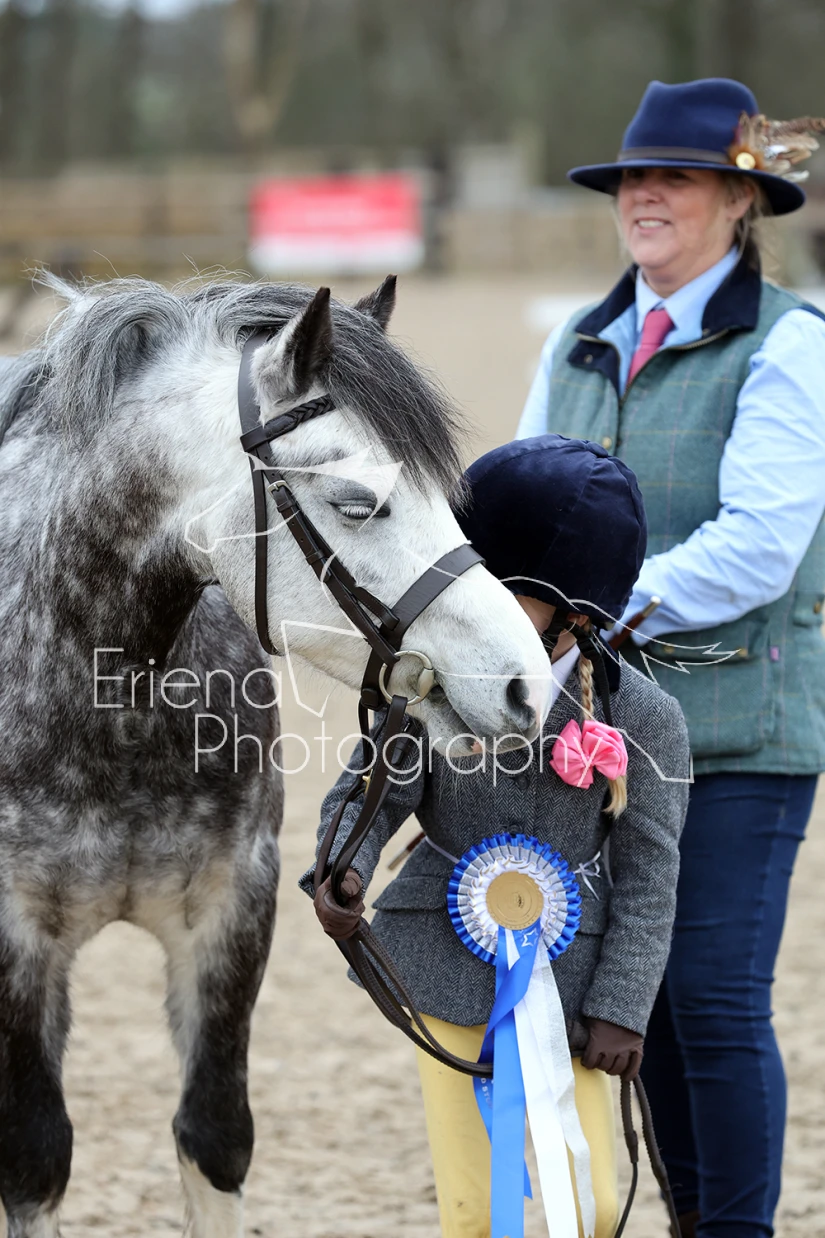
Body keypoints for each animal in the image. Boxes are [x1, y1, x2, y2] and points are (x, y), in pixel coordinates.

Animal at [0, 273, 550, 1238]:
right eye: (358, 502)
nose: (525, 685)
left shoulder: (232, 906)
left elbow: (214, 1137)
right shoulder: (16, 934)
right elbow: (34, 1160)